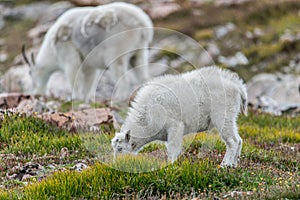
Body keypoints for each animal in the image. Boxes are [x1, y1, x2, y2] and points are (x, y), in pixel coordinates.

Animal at [23, 2, 154, 101]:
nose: (36, 93)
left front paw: (75, 98)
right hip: (140, 52)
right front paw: (85, 99)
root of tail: (142, 23)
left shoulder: (69, 56)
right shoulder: (89, 65)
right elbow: (88, 82)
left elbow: (74, 78)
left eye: (30, 72)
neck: (52, 49)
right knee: (143, 76)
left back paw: (118, 99)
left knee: (124, 79)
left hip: (117, 54)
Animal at [111, 67, 247, 167]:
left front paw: (170, 165)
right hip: (231, 116)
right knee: (239, 140)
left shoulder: (174, 126)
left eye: (120, 148)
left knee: (232, 141)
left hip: (223, 116)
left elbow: (172, 148)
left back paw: (224, 165)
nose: (117, 164)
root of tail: (237, 86)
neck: (146, 117)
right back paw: (233, 164)